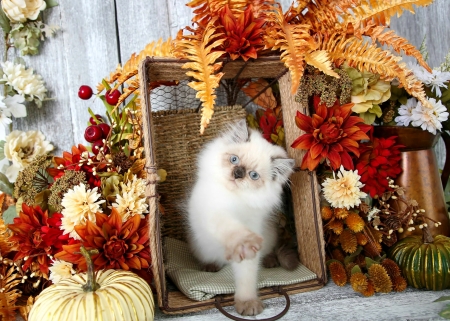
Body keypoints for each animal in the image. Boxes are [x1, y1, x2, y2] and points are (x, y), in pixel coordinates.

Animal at [186, 119, 296, 314]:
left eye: (253, 175)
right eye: (234, 159)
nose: (238, 173)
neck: (234, 198)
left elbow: (247, 277)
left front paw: (248, 303)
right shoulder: (214, 214)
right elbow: (232, 230)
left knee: (269, 251)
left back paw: (270, 261)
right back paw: (211, 266)